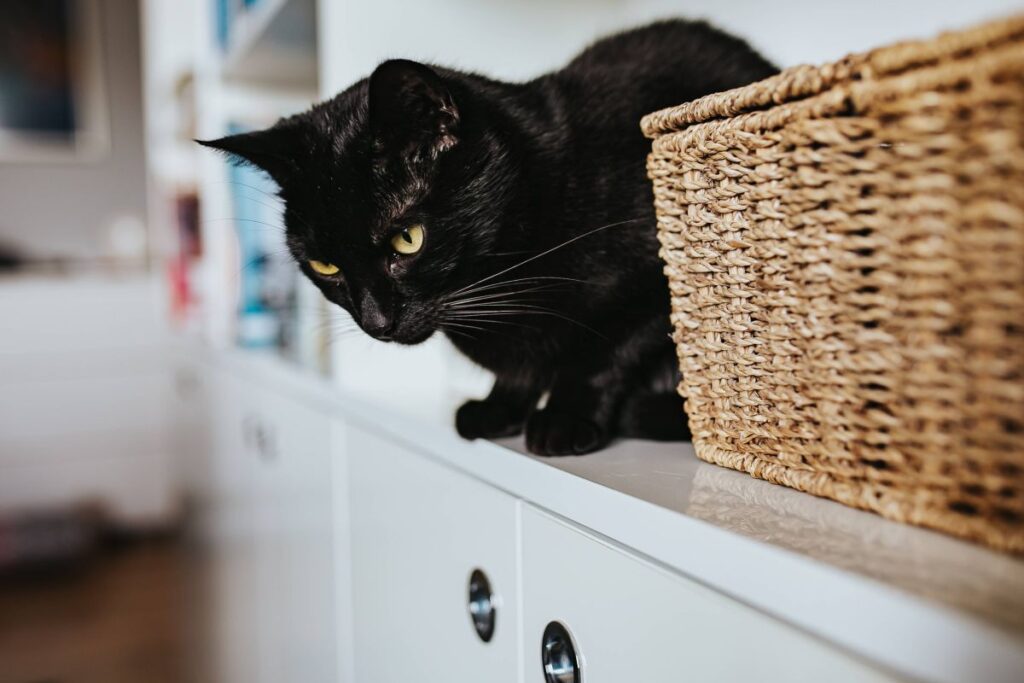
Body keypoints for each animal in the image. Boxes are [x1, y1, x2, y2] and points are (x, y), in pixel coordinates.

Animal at [201, 21, 774, 456]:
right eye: (326, 267)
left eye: (407, 239)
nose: (376, 323)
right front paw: (500, 405)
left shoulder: (665, 281)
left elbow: (605, 352)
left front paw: (563, 417)